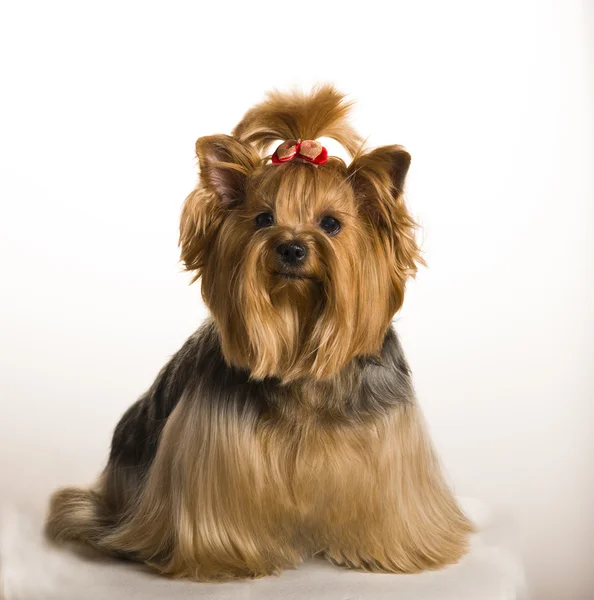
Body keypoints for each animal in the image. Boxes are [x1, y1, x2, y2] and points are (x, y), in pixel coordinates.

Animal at [46, 85, 472, 580]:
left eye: (331, 224)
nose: (291, 248)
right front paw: (228, 560)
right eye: (263, 219)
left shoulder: (385, 438)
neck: (298, 338)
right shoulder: (216, 447)